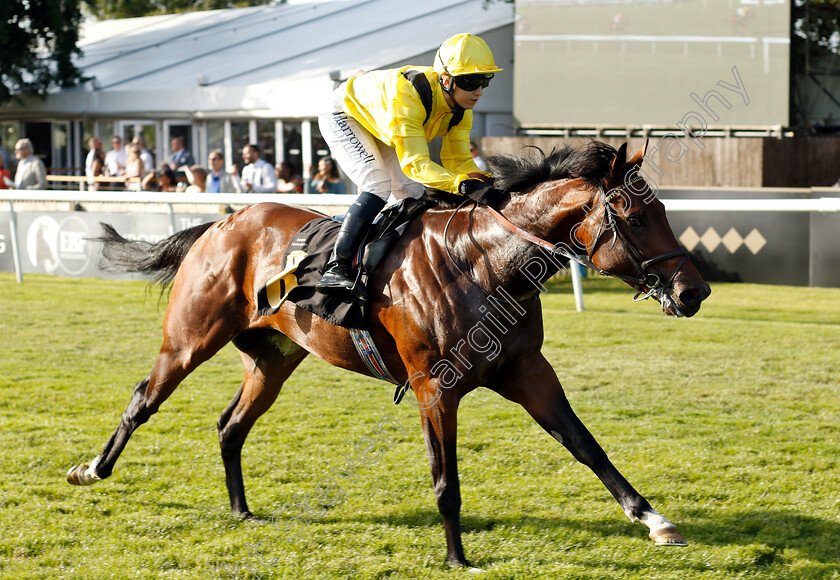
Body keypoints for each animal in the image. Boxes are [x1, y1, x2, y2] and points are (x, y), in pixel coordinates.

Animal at [67, 140, 708, 568]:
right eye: (634, 217)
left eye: (662, 212)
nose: (693, 291)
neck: (484, 264)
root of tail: (222, 223)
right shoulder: (435, 387)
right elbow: (446, 479)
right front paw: (457, 557)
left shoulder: (527, 371)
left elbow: (586, 444)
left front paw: (654, 519)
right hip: (189, 340)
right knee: (143, 399)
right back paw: (91, 470)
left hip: (273, 359)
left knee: (231, 425)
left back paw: (241, 510)